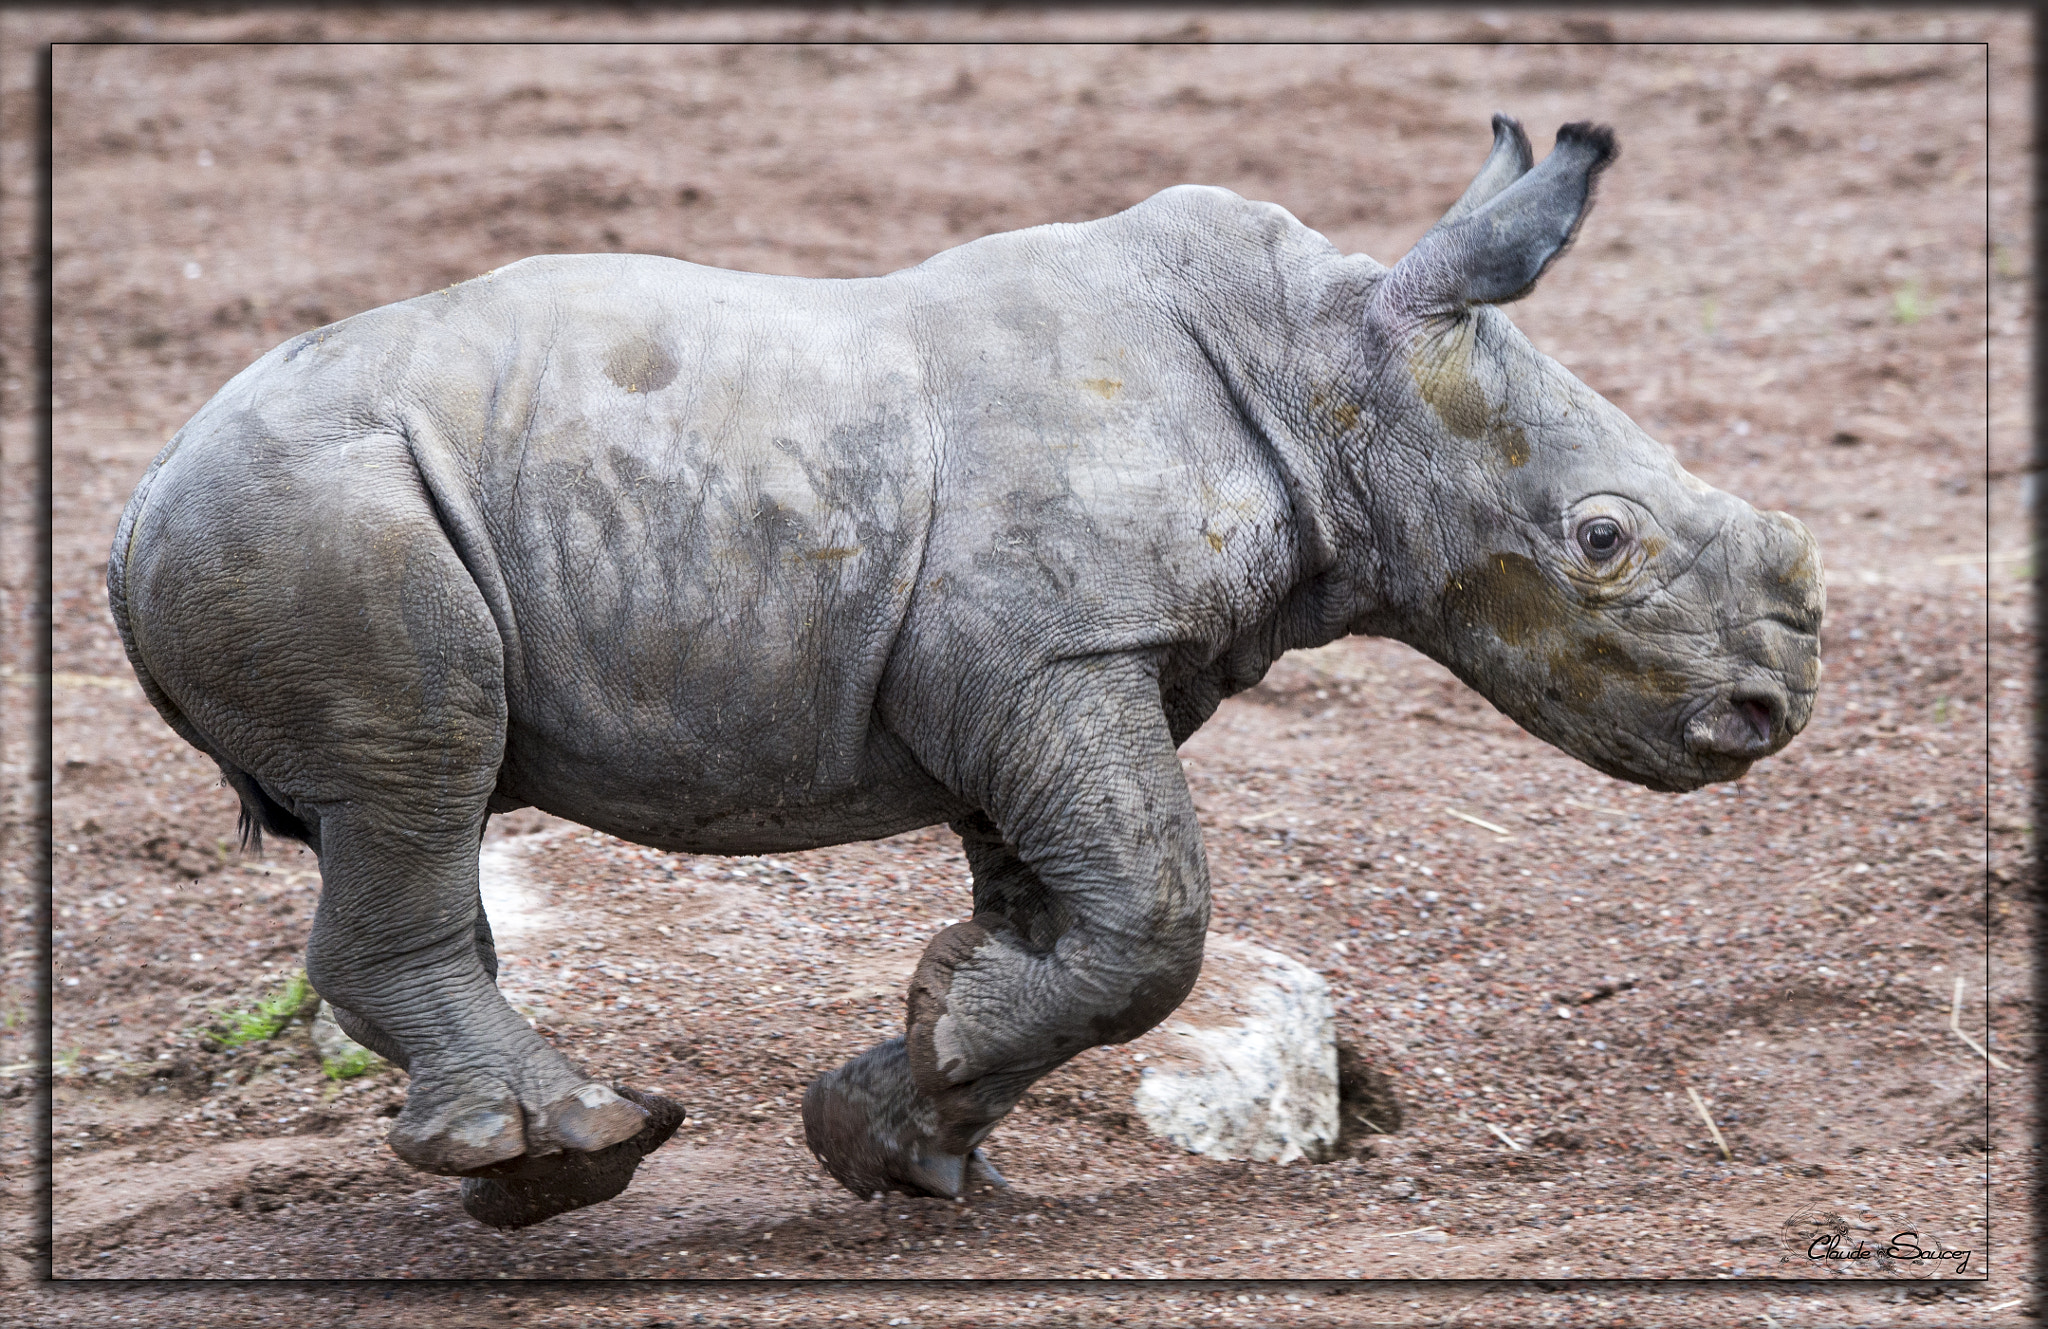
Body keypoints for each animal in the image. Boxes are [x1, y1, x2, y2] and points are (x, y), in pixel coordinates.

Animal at [106, 115, 1822, 1229]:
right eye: (1601, 538)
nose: (1769, 713)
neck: (1329, 368)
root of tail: (135, 502)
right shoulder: (1045, 652)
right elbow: (1157, 916)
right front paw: (936, 1064)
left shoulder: (1055, 672)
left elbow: (1083, 914)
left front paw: (908, 1126)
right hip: (323, 521)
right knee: (415, 777)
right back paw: (567, 1156)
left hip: (323, 516)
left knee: (417, 812)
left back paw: (552, 1158)